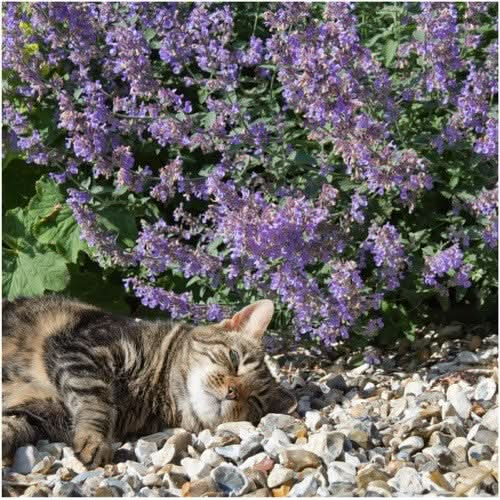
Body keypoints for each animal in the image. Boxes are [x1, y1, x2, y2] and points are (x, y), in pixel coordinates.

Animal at [1, 294, 294, 466]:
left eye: (254, 401)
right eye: (234, 359)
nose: (232, 392)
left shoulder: (42, 412)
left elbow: (12, 425)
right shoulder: (80, 349)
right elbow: (96, 401)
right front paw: (94, 440)